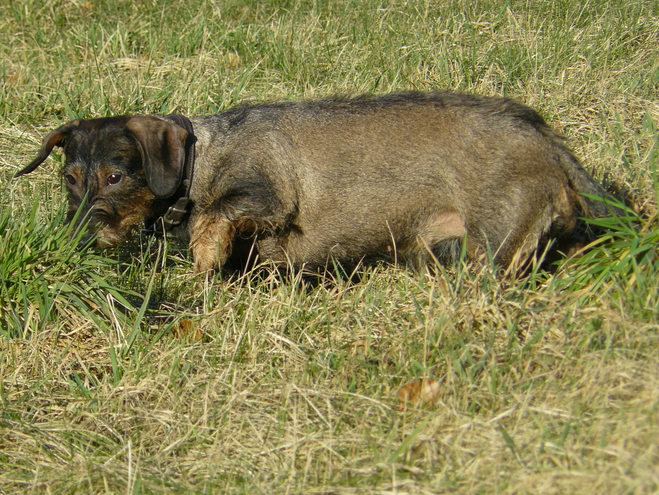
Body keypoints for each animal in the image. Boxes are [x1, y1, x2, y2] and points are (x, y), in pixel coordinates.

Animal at [12, 91, 620, 274]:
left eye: (115, 176)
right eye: (69, 179)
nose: (72, 241)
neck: (201, 157)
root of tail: (550, 143)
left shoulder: (268, 194)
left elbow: (215, 215)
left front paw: (206, 260)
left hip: (492, 248)